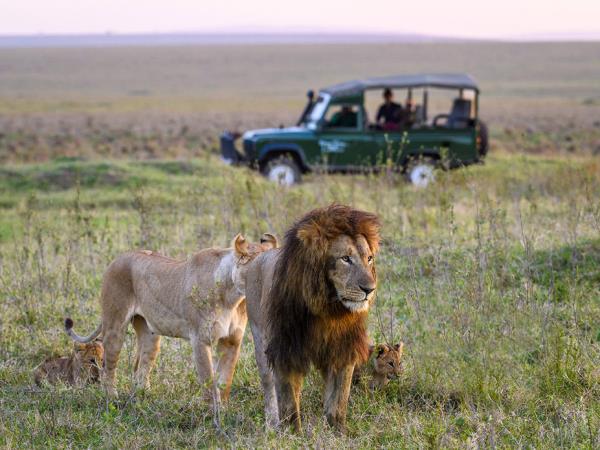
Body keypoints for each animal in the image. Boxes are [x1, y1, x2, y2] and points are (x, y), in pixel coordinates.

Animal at [65, 234, 276, 414]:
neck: (232, 297)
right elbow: (208, 379)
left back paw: (143, 396)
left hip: (150, 334)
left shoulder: (232, 340)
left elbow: (226, 379)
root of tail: (117, 258)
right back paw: (112, 398)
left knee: (141, 366)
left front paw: (224, 411)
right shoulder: (200, 339)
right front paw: (213, 414)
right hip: (114, 326)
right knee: (108, 367)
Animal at [245, 204, 380, 428]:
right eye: (346, 259)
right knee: (269, 388)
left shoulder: (343, 349)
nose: (369, 289)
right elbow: (289, 404)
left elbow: (338, 403)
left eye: (369, 259)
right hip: (260, 342)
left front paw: (338, 431)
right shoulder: (286, 350)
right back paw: (272, 425)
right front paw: (292, 433)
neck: (327, 310)